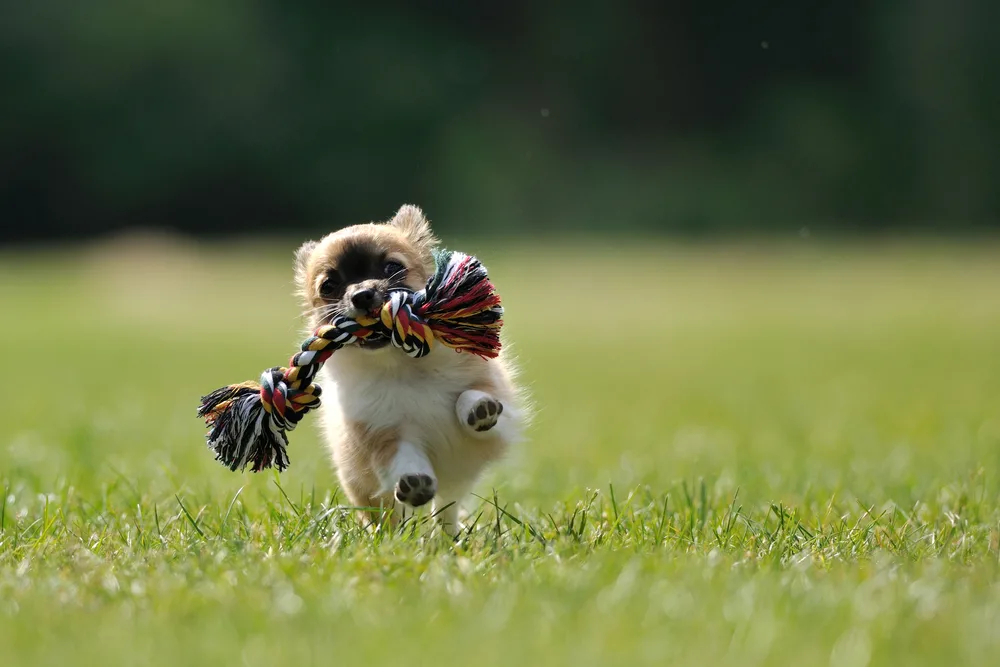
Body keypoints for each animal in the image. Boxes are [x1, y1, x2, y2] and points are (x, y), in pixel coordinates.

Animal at [292, 206, 528, 536]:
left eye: (393, 267)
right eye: (328, 286)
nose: (362, 294)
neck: (403, 364)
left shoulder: (495, 405)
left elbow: (473, 396)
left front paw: (479, 408)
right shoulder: (381, 431)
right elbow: (403, 458)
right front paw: (414, 483)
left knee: (447, 507)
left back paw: (448, 536)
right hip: (364, 490)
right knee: (389, 515)